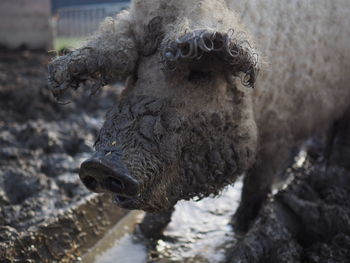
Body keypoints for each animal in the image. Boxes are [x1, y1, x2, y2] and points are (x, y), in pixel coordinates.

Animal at [47, 0, 350, 233]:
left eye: (200, 73)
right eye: (135, 74)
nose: (101, 166)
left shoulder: (277, 133)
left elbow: (255, 188)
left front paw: (237, 229)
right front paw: (142, 235)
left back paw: (330, 172)